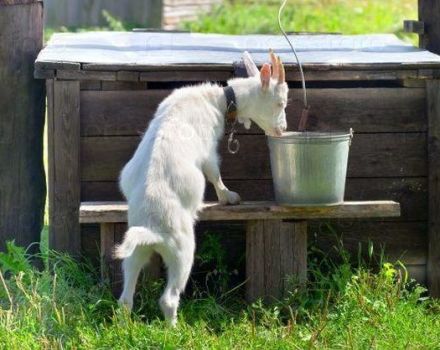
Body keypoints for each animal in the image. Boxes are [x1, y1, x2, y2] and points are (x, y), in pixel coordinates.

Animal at [114, 51, 288, 326]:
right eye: (280, 103)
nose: (282, 130)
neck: (217, 100)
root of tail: (153, 229)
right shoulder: (208, 149)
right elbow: (214, 171)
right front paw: (228, 196)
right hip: (182, 250)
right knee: (169, 298)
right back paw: (175, 329)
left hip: (134, 250)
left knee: (125, 298)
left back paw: (124, 328)